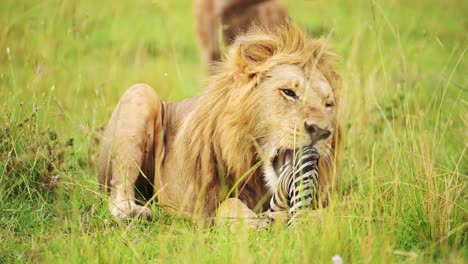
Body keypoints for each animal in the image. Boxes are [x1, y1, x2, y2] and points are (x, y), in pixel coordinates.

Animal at [98, 22, 342, 227]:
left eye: (328, 104)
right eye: (289, 92)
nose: (322, 131)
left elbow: (326, 212)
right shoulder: (202, 205)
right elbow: (228, 204)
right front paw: (250, 222)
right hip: (140, 92)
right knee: (117, 188)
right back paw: (132, 212)